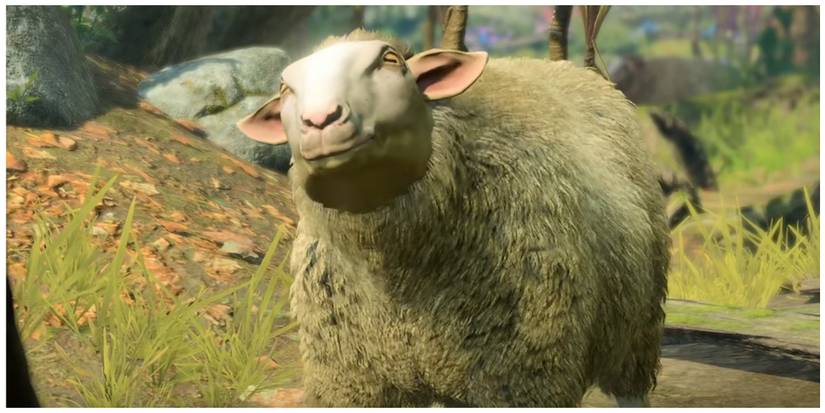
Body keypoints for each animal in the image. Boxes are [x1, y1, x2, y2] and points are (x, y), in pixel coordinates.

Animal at [237, 29, 669, 407]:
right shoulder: (350, 379)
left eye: (390, 61)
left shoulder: (520, 376)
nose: (320, 119)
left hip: (637, 331)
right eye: (285, 89)